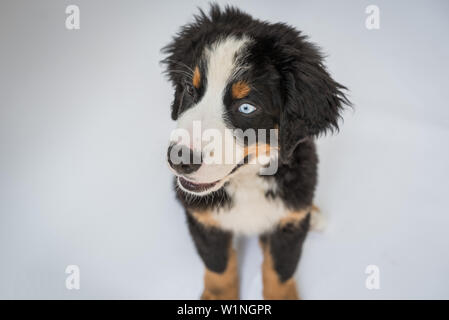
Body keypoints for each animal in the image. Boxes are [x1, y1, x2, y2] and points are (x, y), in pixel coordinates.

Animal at [162, 5, 350, 300]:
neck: (247, 183)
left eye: (246, 107)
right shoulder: (203, 220)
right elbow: (218, 266)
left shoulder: (287, 226)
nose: (179, 160)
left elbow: (280, 270)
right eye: (190, 89)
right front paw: (218, 296)